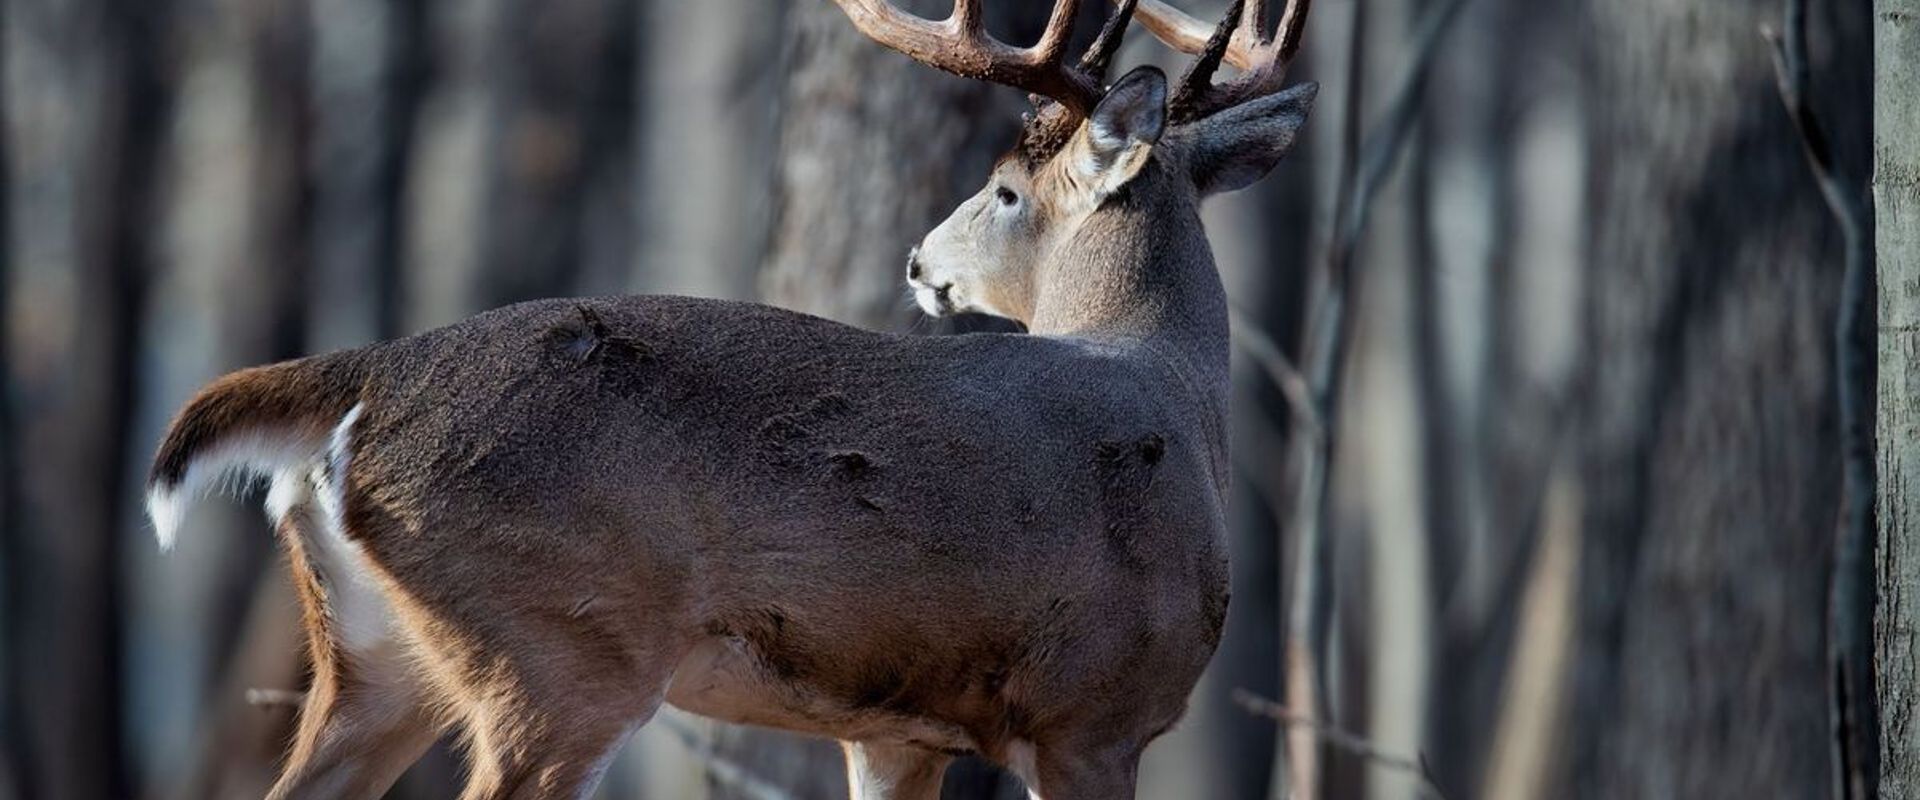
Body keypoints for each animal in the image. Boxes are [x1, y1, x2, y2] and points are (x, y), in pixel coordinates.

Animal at [143, 1, 1315, 797]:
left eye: (1003, 191)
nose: (918, 261)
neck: (1171, 393)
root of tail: (371, 374)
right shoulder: (1094, 715)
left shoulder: (899, 728)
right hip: (562, 649)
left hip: (377, 661)